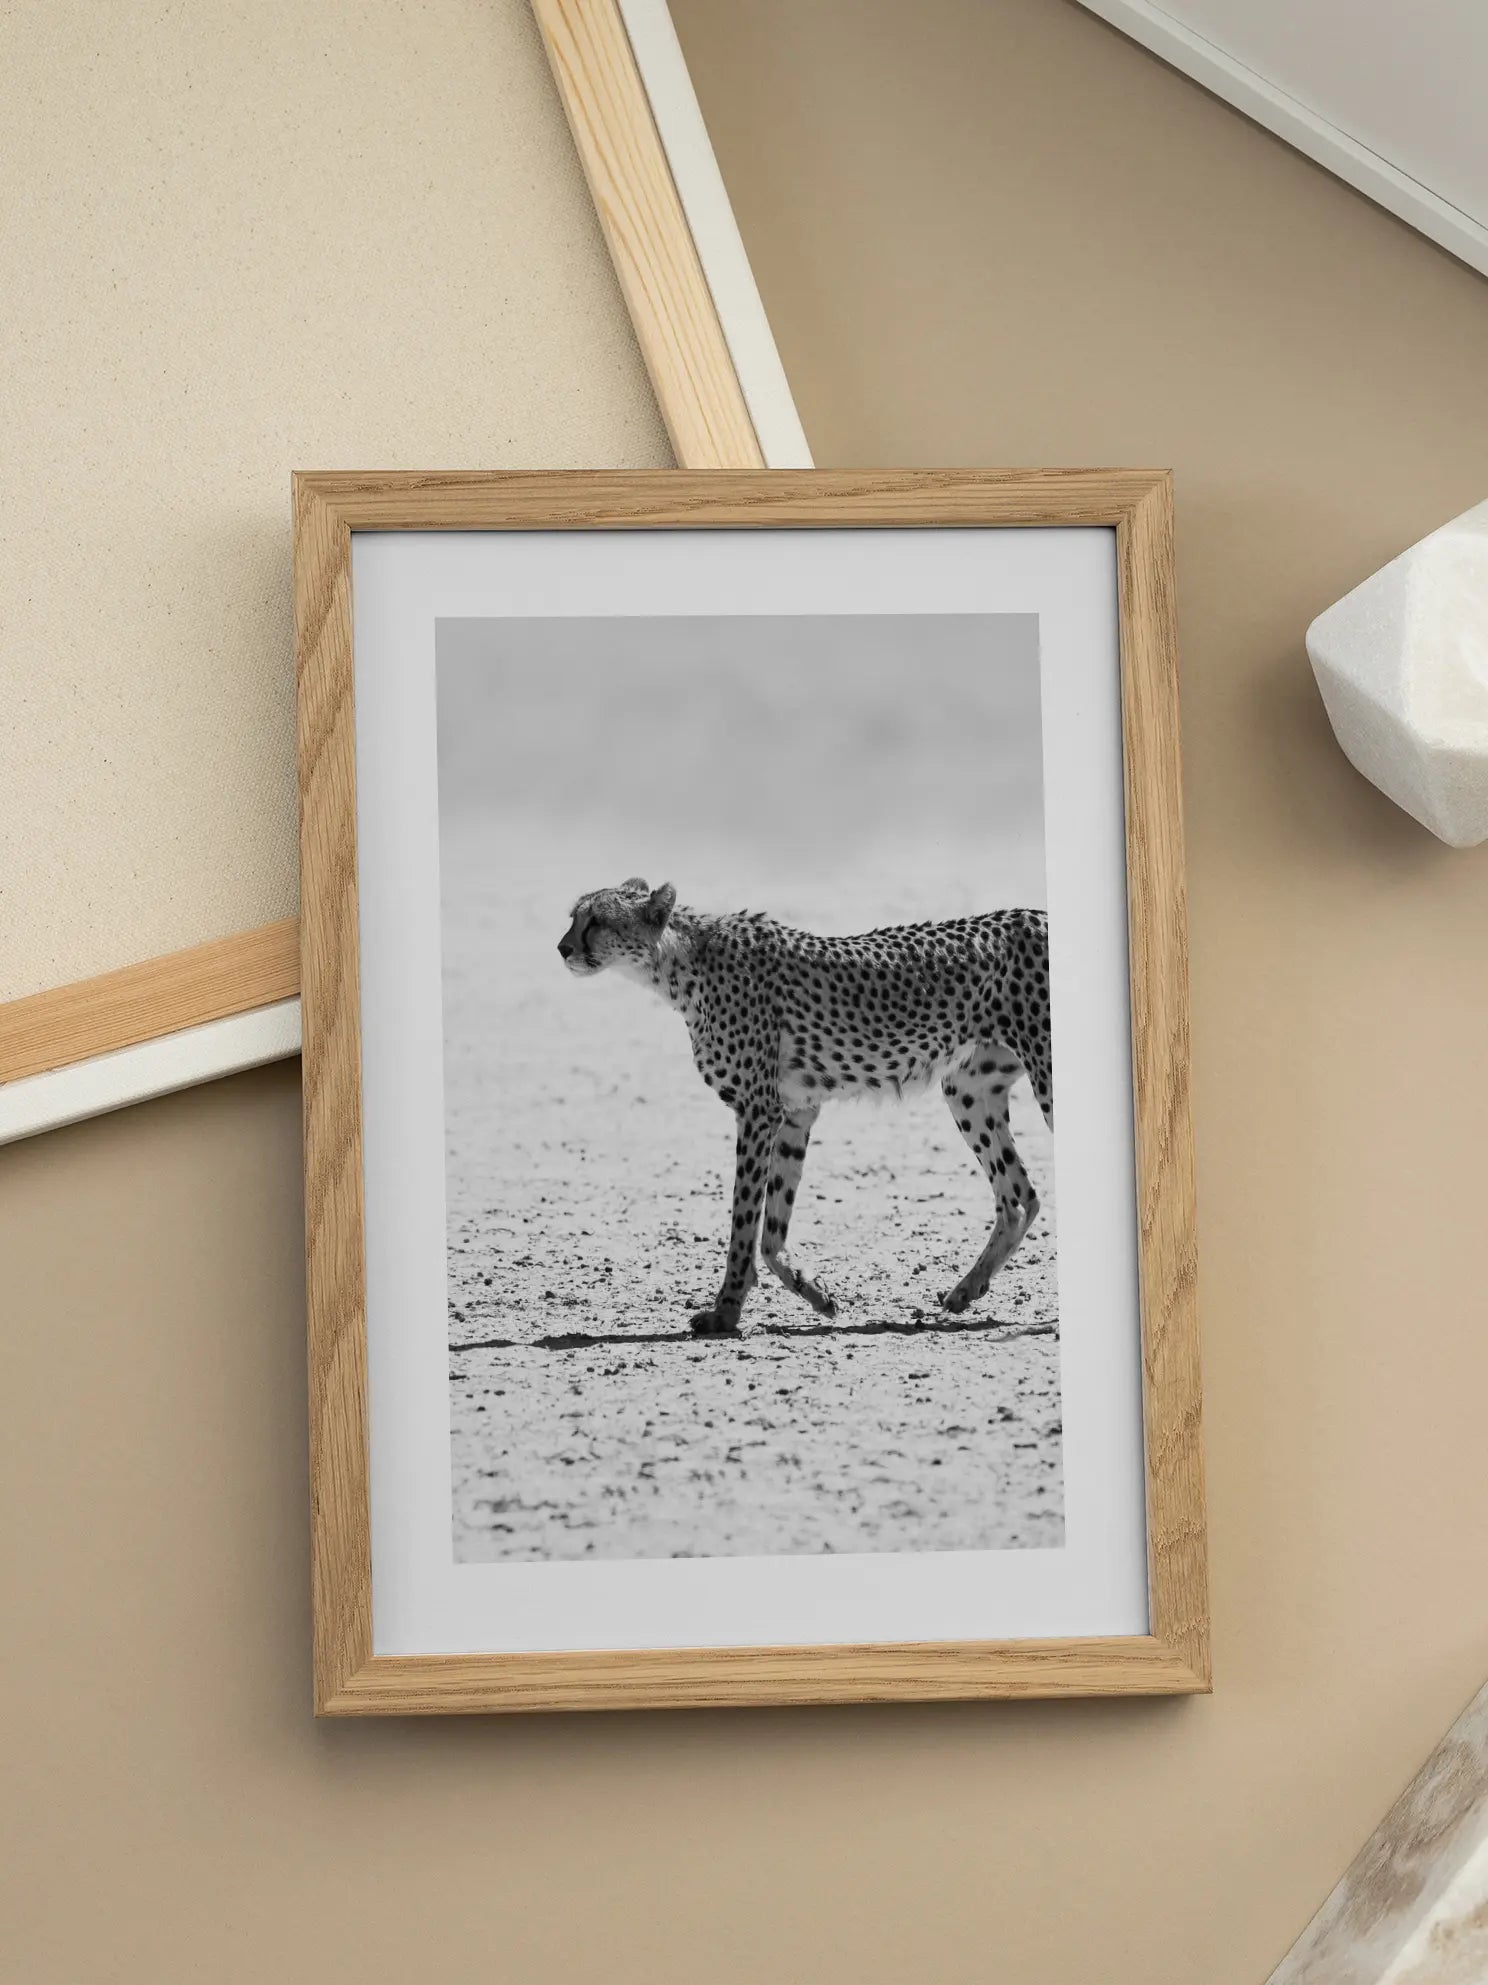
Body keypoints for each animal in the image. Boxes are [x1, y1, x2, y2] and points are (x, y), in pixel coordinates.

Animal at [558, 877, 1053, 1337]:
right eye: (573, 917)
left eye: (596, 921)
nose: (562, 948)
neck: (680, 962)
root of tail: (1036, 912)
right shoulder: (795, 1112)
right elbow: (772, 1229)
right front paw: (816, 1293)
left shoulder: (758, 1110)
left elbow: (743, 1222)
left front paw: (725, 1311)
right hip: (967, 1087)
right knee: (1019, 1196)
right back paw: (966, 1290)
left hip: (1044, 1077)